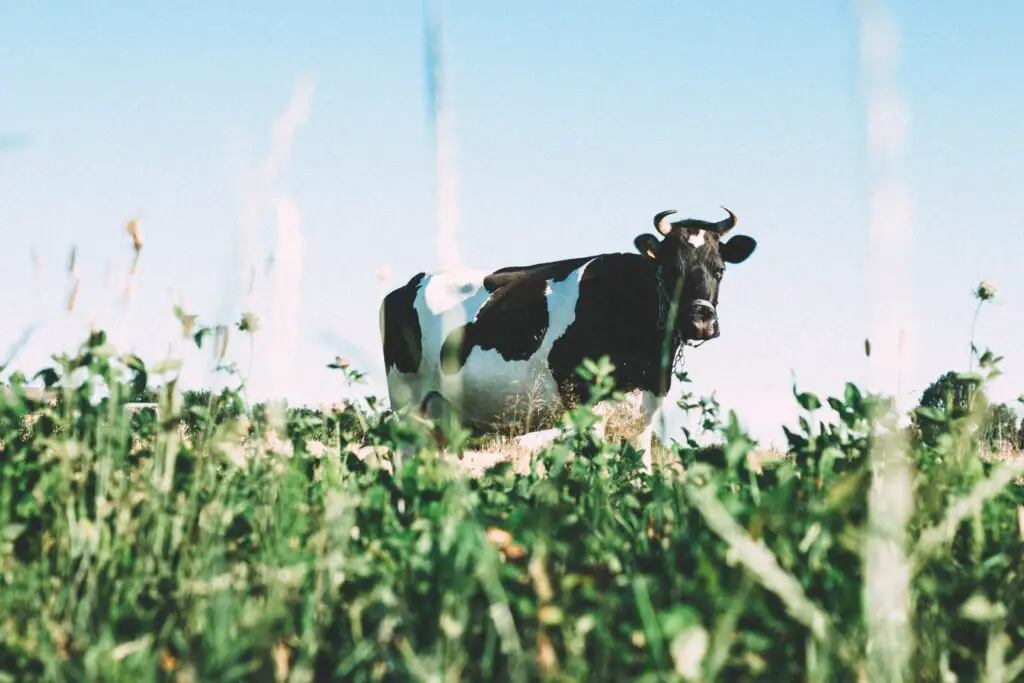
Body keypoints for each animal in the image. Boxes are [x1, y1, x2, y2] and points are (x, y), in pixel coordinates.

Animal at [380, 206, 757, 471]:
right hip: (408, 403)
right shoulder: (587, 405)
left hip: (443, 416)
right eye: (671, 269)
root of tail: (407, 284)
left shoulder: (644, 414)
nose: (700, 322)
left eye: (720, 269)